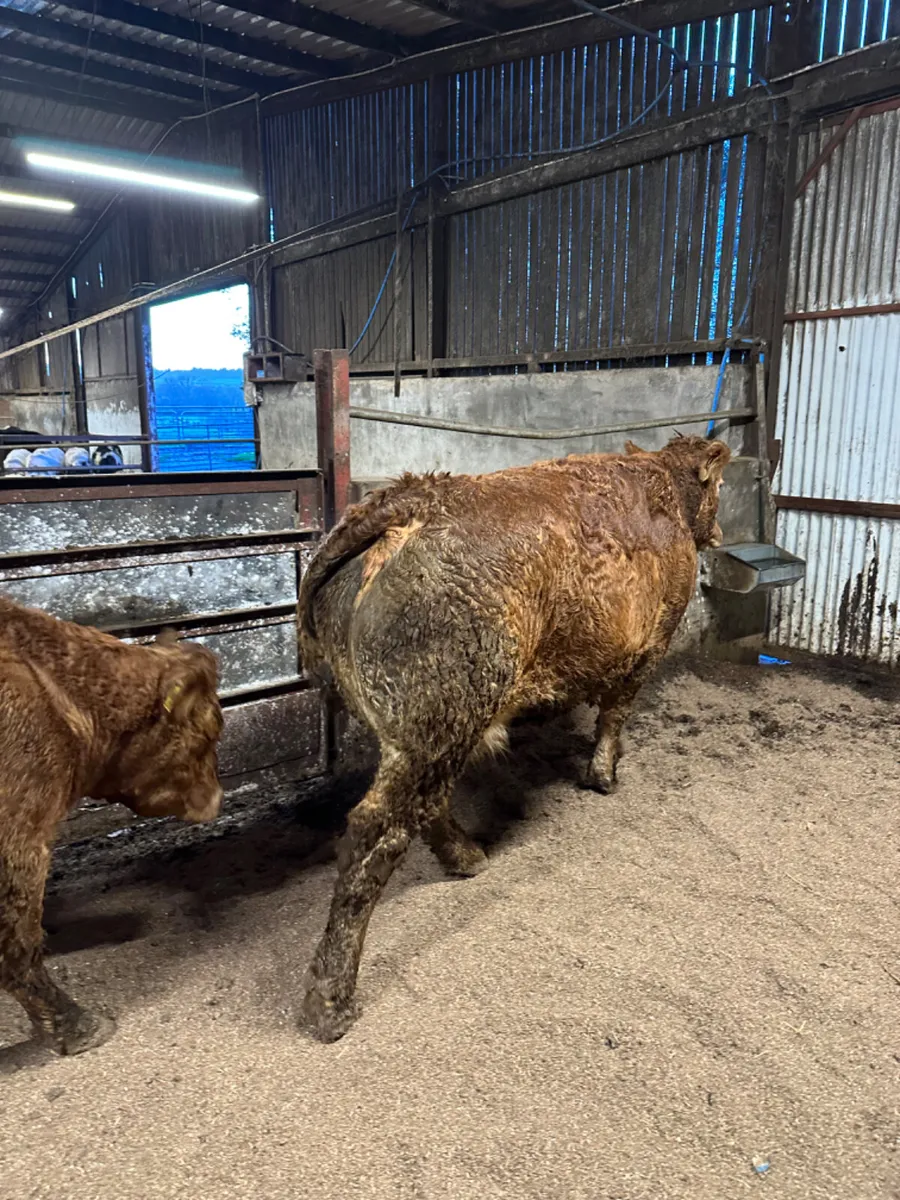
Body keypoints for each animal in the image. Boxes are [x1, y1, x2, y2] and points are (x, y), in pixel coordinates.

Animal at [296, 434, 731, 1042]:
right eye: (720, 486)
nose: (721, 531)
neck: (665, 485)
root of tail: (412, 497)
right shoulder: (648, 646)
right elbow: (614, 714)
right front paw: (604, 775)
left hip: (409, 726)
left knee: (425, 807)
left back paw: (467, 857)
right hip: (439, 719)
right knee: (374, 833)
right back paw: (330, 1003)